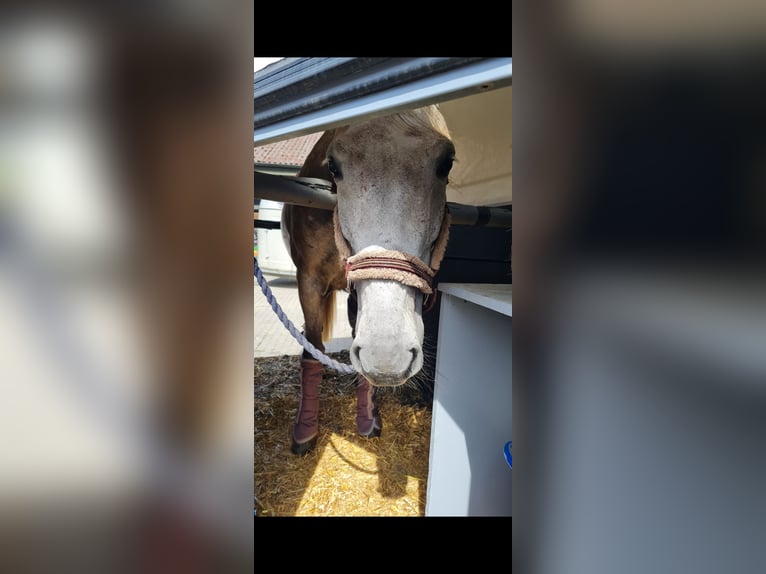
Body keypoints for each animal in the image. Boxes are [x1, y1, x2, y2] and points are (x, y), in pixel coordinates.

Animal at [281, 105, 455, 454]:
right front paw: (305, 430)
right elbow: (311, 351)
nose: (387, 358)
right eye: (334, 165)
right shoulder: (308, 281)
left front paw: (367, 418)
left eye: (446, 162)